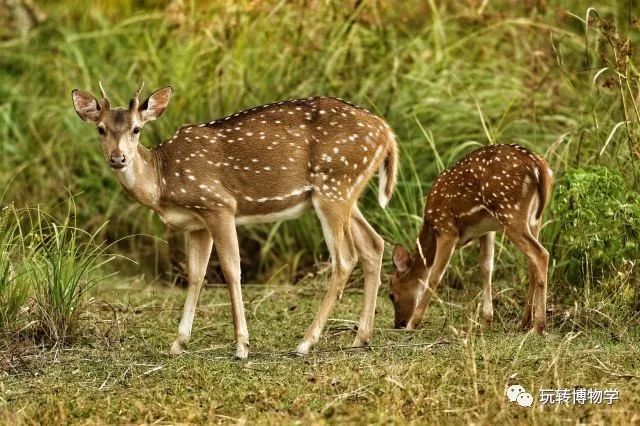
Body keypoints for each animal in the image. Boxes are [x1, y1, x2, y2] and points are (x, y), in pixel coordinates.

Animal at [72, 81, 398, 358]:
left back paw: (305, 343)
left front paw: (242, 346)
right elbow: (196, 274)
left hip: (333, 185)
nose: (118, 158)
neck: (163, 183)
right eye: (101, 129)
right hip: (347, 192)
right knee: (374, 244)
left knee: (345, 258)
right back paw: (360, 338)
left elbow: (231, 270)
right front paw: (178, 343)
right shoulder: (197, 223)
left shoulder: (219, 204)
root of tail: (387, 132)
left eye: (137, 129)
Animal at [388, 145, 552, 334]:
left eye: (391, 294)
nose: (398, 324)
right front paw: (487, 321)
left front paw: (413, 324)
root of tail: (540, 166)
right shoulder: (487, 230)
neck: (430, 227)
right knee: (532, 263)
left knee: (541, 255)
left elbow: (435, 276)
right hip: (534, 219)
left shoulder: (447, 229)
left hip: (510, 211)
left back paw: (538, 326)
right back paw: (525, 321)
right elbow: (486, 268)